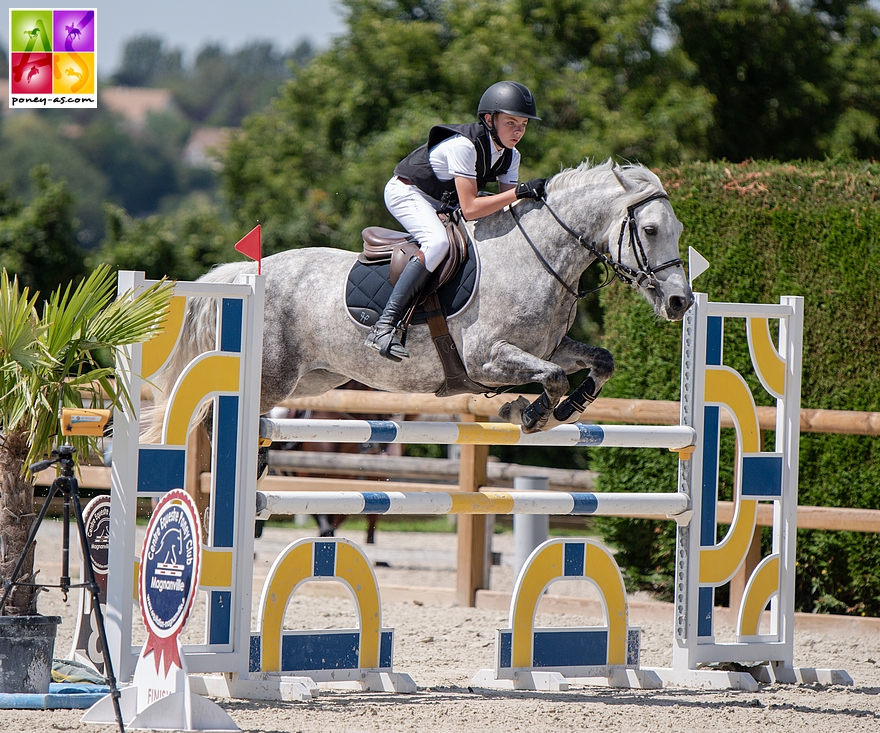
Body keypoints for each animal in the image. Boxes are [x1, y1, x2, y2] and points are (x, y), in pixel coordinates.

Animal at [146, 160, 696, 434]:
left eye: (679, 230)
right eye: (649, 230)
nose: (679, 303)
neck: (535, 255)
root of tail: (250, 273)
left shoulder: (546, 348)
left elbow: (597, 362)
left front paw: (566, 410)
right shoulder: (487, 358)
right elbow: (554, 379)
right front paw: (528, 414)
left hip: (314, 378)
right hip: (273, 377)